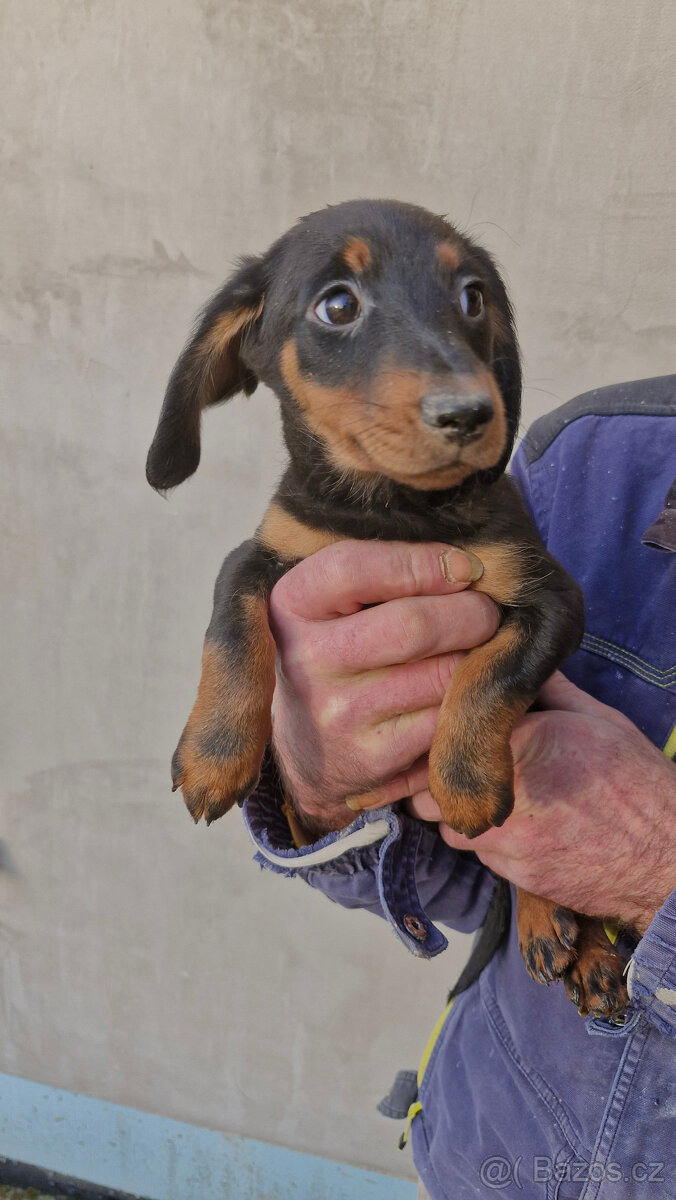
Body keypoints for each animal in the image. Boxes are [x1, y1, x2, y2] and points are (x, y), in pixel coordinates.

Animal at [147, 201, 629, 1017]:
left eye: (472, 297)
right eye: (337, 305)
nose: (470, 413)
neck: (393, 511)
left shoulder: (552, 597)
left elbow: (493, 674)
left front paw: (465, 779)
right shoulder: (266, 554)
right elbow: (232, 628)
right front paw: (215, 752)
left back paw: (577, 942)